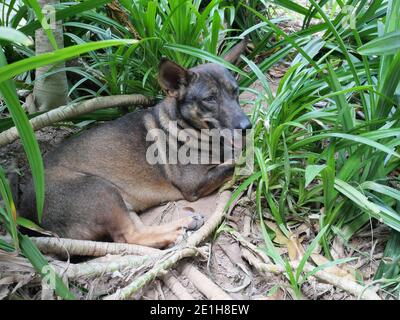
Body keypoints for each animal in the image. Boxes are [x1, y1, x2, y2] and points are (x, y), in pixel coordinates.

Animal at [19, 43, 250, 249]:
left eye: (235, 92)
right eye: (209, 98)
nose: (247, 126)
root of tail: (25, 215)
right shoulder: (194, 184)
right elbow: (236, 163)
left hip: (121, 202)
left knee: (139, 230)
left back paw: (184, 223)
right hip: (101, 188)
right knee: (129, 236)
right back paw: (175, 234)